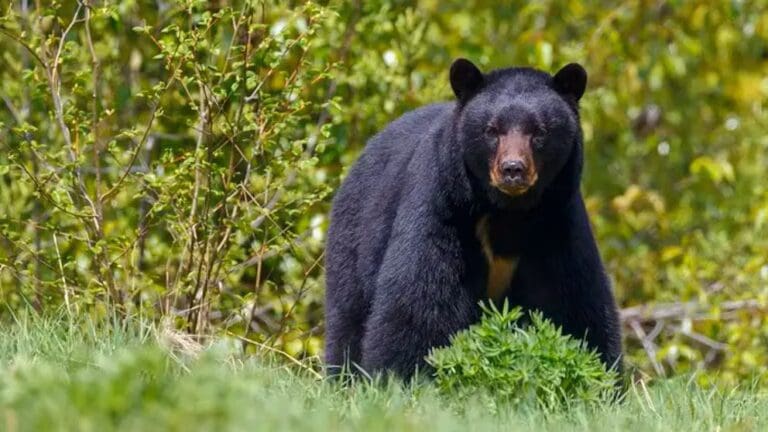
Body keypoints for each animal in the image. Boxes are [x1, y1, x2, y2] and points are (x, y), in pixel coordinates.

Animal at [324, 58, 623, 379]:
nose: (513, 169)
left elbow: (574, 301)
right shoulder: (443, 207)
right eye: (491, 130)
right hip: (355, 235)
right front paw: (401, 376)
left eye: (539, 131)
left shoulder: (556, 222)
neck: (507, 211)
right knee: (348, 315)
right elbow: (420, 297)